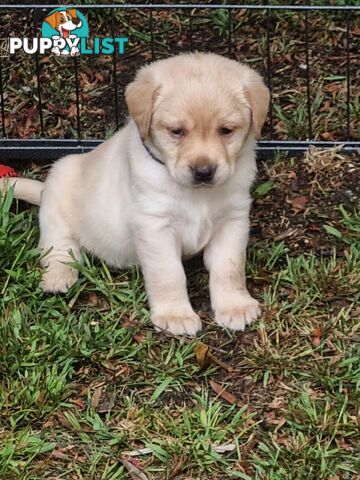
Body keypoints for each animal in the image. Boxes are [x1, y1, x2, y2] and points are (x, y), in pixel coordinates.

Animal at [1, 52, 268, 336]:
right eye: (176, 131)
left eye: (226, 130)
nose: (204, 171)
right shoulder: (154, 226)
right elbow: (168, 273)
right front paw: (175, 314)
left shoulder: (232, 220)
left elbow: (229, 267)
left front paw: (235, 306)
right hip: (58, 199)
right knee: (58, 248)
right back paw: (59, 277)